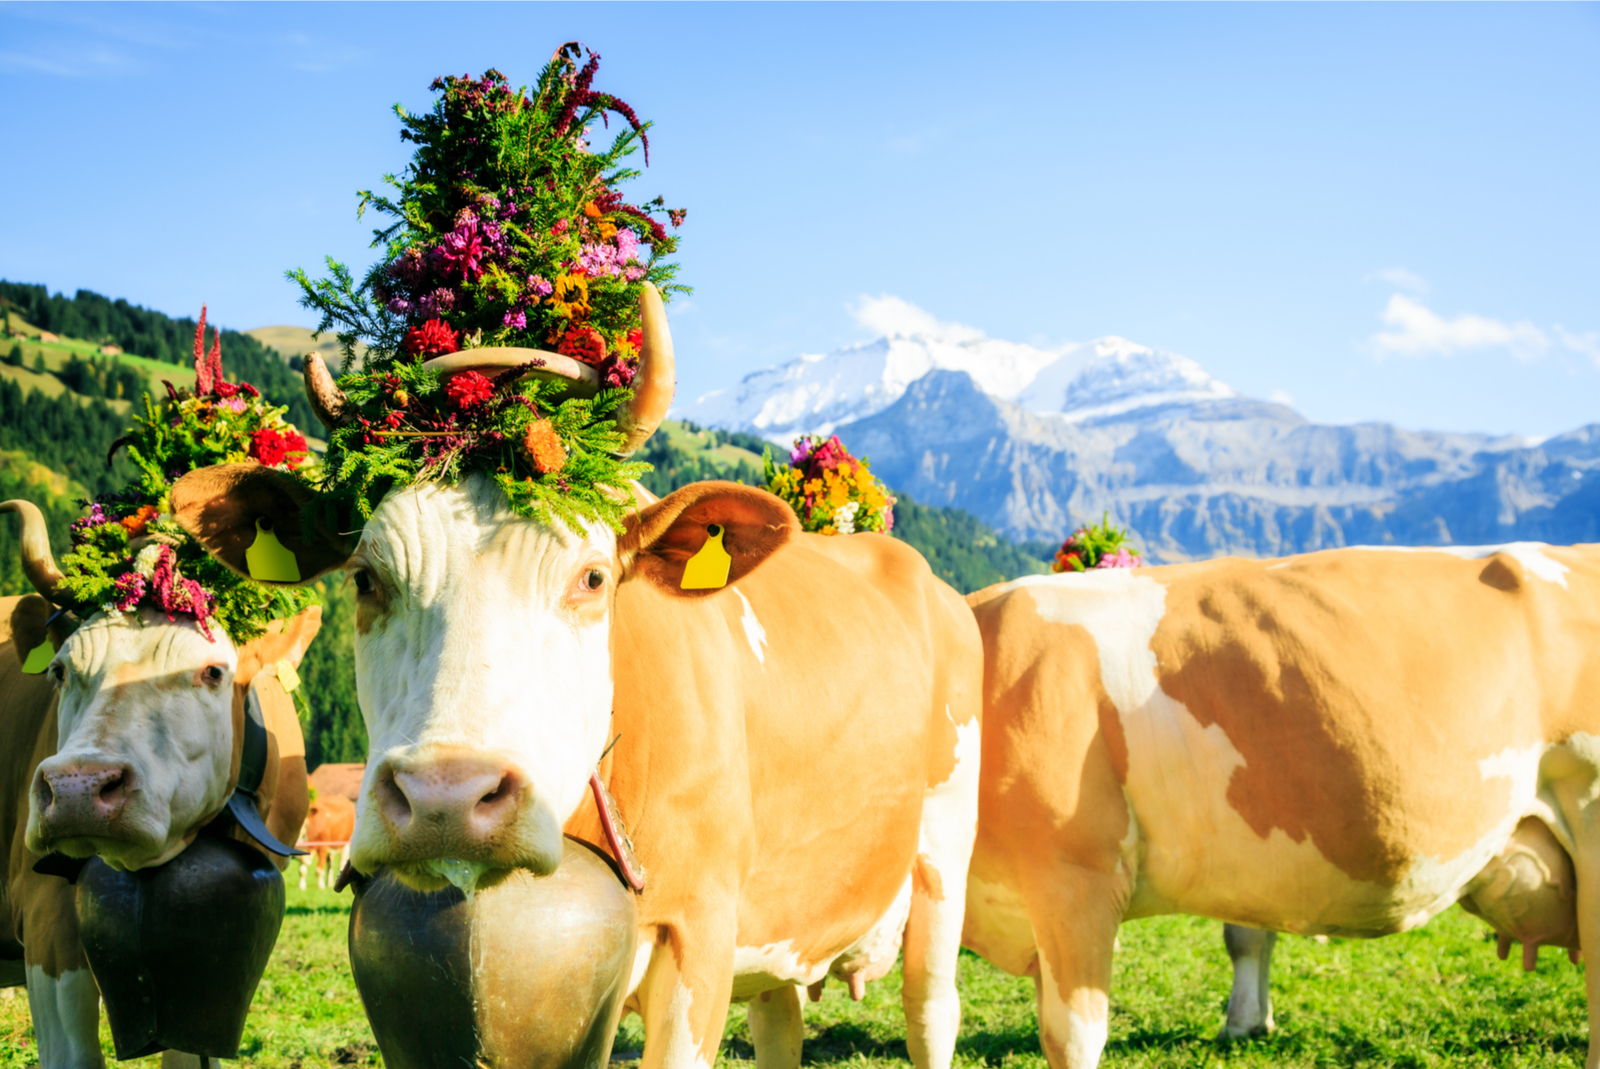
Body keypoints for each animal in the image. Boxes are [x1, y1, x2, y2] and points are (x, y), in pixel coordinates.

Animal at [168, 283, 979, 1069]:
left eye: (592, 577)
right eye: (366, 579)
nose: (444, 798)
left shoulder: (702, 934)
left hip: (944, 851)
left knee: (932, 1009)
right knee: (782, 1021)